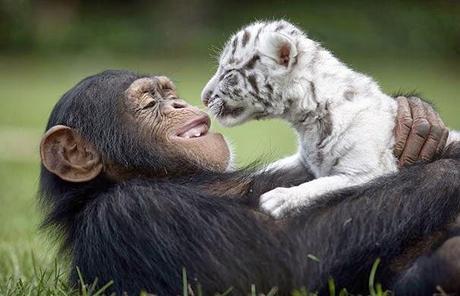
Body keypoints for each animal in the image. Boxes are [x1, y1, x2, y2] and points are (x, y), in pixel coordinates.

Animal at [38, 70, 460, 296]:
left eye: (167, 93)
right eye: (147, 103)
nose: (179, 105)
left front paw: (415, 118)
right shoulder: (134, 214)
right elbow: (285, 265)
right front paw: (449, 170)